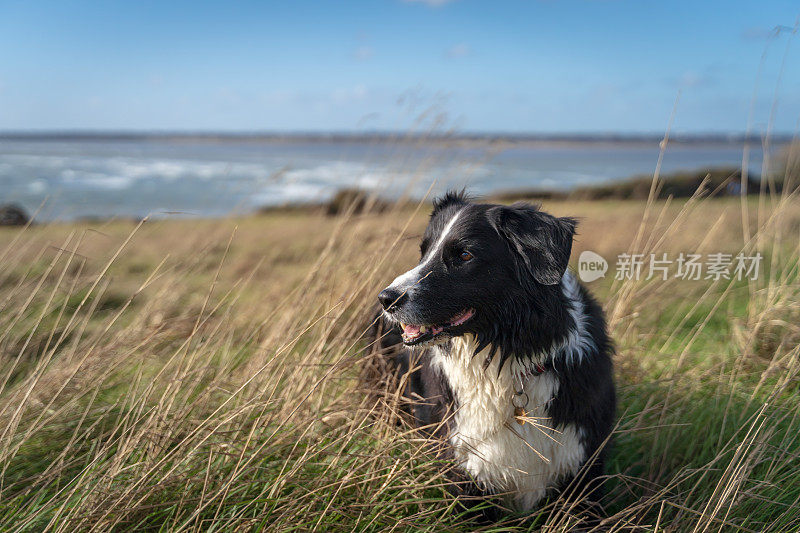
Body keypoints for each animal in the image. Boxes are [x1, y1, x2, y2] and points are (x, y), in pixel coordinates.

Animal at [376, 189, 620, 516]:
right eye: (423, 252)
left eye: (464, 256)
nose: (386, 299)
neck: (503, 358)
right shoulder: (463, 468)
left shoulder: (583, 464)